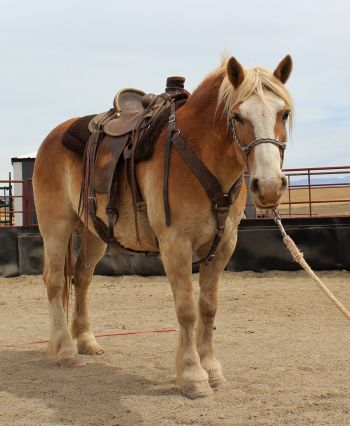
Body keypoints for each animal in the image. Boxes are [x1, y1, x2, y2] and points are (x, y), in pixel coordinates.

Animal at [32, 54, 294, 400]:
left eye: (284, 113)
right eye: (237, 116)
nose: (269, 186)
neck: (196, 151)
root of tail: (52, 137)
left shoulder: (223, 246)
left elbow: (208, 308)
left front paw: (212, 370)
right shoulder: (175, 245)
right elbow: (186, 309)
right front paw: (193, 376)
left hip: (93, 234)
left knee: (81, 278)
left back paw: (86, 341)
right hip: (56, 227)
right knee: (54, 281)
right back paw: (65, 351)